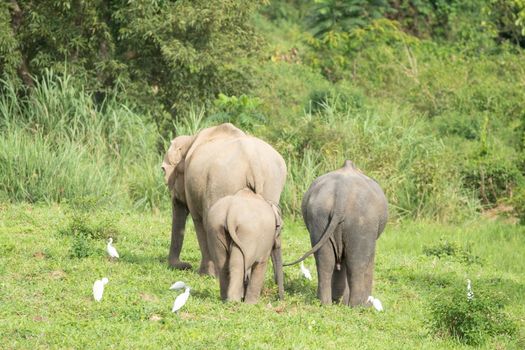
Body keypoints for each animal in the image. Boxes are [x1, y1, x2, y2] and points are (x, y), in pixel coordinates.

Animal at [162, 123, 286, 276]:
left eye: (163, 170)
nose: (186, 265)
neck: (190, 139)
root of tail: (253, 161)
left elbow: (199, 220)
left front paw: (204, 274)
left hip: (223, 182)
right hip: (272, 183)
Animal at [284, 161, 386, 306]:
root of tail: (341, 195)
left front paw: (339, 301)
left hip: (319, 218)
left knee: (325, 261)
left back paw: (325, 303)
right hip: (362, 223)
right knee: (356, 264)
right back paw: (357, 306)